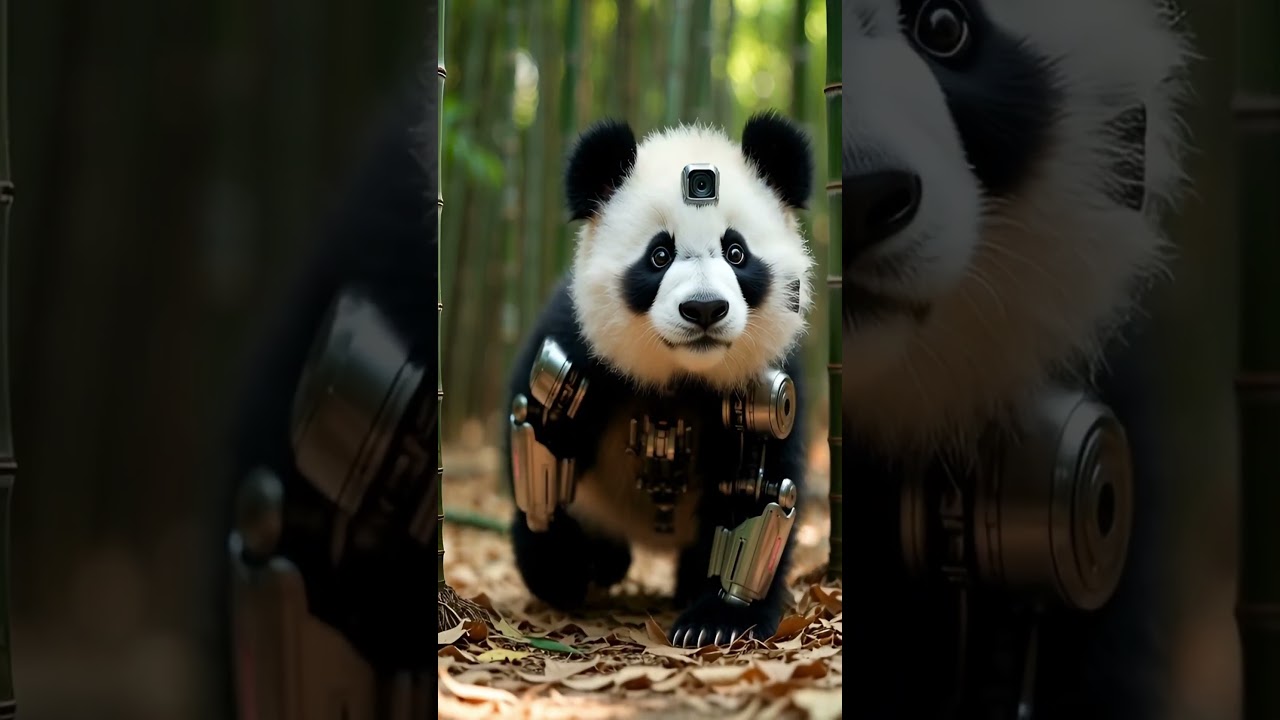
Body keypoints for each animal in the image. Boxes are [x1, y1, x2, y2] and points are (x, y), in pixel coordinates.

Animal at [504, 113, 816, 648]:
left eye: (736, 252)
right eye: (659, 255)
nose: (705, 309)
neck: (680, 380)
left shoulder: (770, 385)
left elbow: (767, 489)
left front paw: (717, 620)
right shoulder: (578, 353)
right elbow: (537, 441)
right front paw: (560, 567)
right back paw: (602, 562)